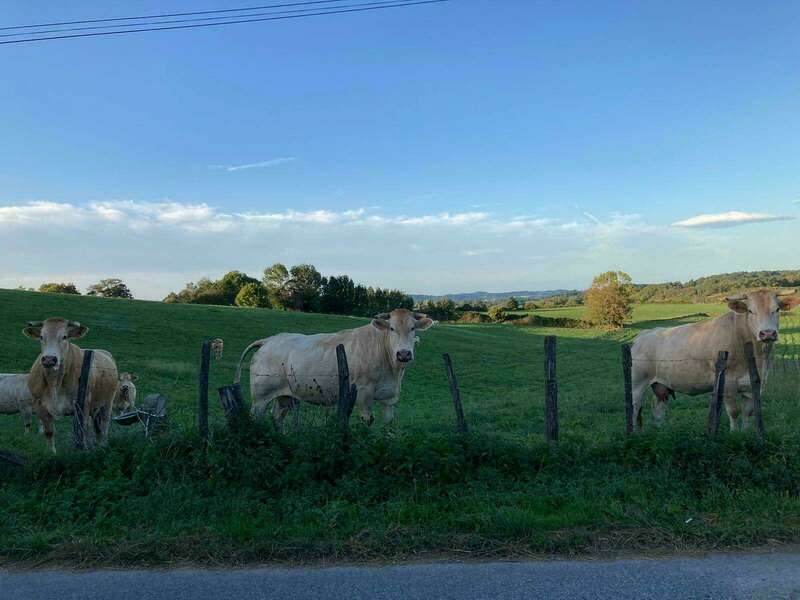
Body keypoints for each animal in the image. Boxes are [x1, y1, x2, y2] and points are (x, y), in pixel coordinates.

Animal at [23, 318, 119, 453]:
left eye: (65, 337)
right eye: (41, 336)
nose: (49, 359)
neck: (55, 382)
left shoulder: (82, 406)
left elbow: (82, 431)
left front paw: (83, 450)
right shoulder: (40, 406)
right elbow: (49, 432)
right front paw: (51, 453)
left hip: (107, 403)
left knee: (104, 425)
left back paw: (103, 445)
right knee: (97, 428)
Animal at [234, 309, 436, 426]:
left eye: (413, 328)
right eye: (392, 328)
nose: (404, 354)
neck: (392, 370)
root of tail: (269, 340)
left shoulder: (389, 397)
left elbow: (388, 424)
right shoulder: (363, 393)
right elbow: (368, 420)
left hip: (285, 396)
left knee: (277, 417)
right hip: (260, 397)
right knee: (256, 417)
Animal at [631, 289, 799, 431]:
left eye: (777, 309)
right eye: (751, 311)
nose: (768, 333)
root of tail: (642, 335)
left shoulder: (753, 384)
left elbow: (748, 412)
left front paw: (745, 433)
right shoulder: (727, 382)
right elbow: (734, 411)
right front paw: (734, 434)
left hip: (661, 384)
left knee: (657, 406)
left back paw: (661, 430)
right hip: (637, 384)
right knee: (635, 407)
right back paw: (634, 434)